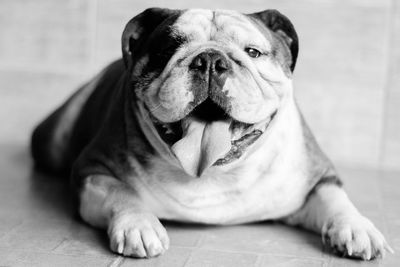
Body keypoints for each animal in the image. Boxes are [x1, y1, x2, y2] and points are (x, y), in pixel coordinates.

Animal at [32, 7, 394, 260]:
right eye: (168, 49)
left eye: (252, 52)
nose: (209, 60)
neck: (214, 174)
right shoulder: (92, 170)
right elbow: (121, 191)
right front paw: (139, 225)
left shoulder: (316, 175)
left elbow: (334, 197)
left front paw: (358, 228)